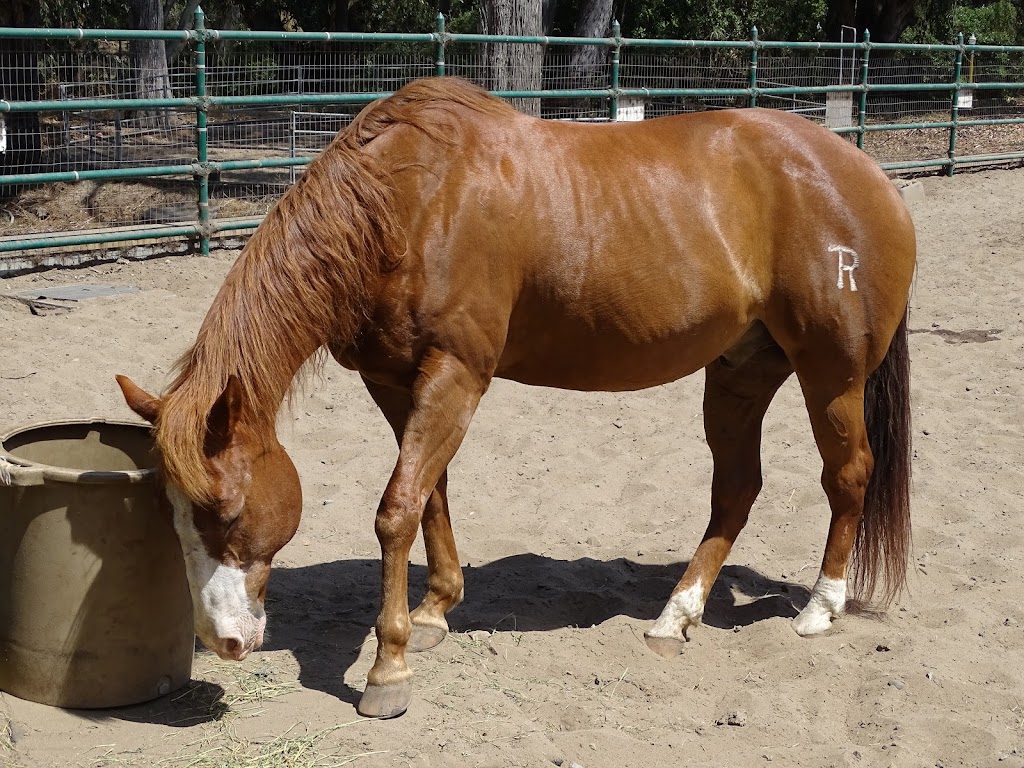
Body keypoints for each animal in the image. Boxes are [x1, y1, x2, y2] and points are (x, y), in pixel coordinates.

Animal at [116, 75, 917, 720]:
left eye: (228, 512)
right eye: (171, 513)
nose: (223, 640)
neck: (411, 200)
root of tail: (869, 175)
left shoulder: (457, 373)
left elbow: (396, 510)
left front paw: (387, 668)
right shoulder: (395, 380)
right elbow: (428, 494)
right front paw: (435, 611)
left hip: (832, 377)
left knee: (847, 476)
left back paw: (820, 607)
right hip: (740, 373)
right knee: (737, 489)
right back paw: (676, 615)